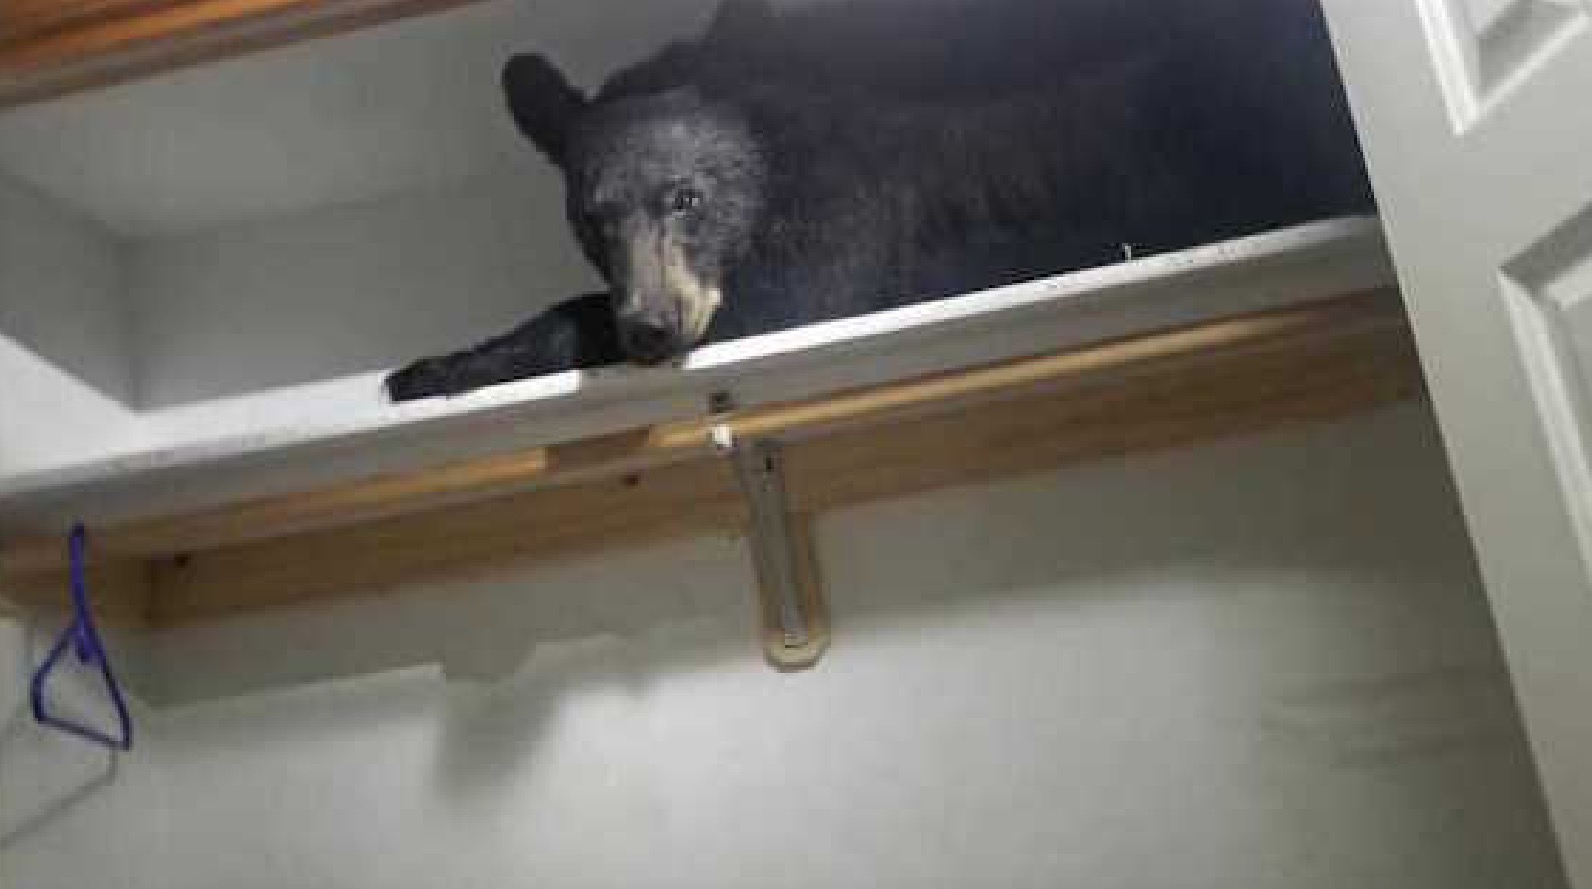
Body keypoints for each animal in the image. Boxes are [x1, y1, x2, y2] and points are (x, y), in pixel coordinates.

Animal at [385, 0, 1374, 402]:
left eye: (687, 197)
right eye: (591, 217)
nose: (652, 330)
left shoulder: (844, 224)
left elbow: (792, 296)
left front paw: (437, 365)